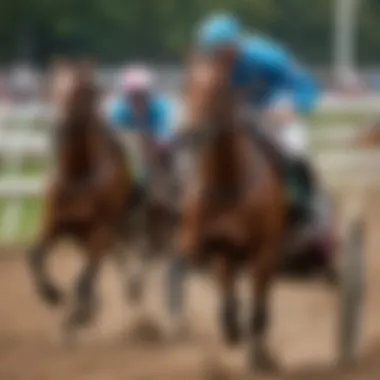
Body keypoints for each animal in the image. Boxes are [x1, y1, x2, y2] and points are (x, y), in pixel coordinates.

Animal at [27, 60, 145, 342]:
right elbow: (34, 257)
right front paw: (52, 295)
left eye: (82, 90)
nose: (59, 124)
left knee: (110, 261)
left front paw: (73, 319)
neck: (78, 176)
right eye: (55, 85)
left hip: (109, 229)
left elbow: (83, 279)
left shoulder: (101, 228)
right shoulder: (54, 224)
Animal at [165, 58, 286, 370]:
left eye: (218, 88)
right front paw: (230, 327)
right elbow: (199, 262)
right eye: (185, 85)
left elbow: (257, 307)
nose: (192, 132)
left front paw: (257, 354)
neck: (227, 184)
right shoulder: (210, 245)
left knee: (261, 301)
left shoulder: (264, 250)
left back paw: (261, 351)